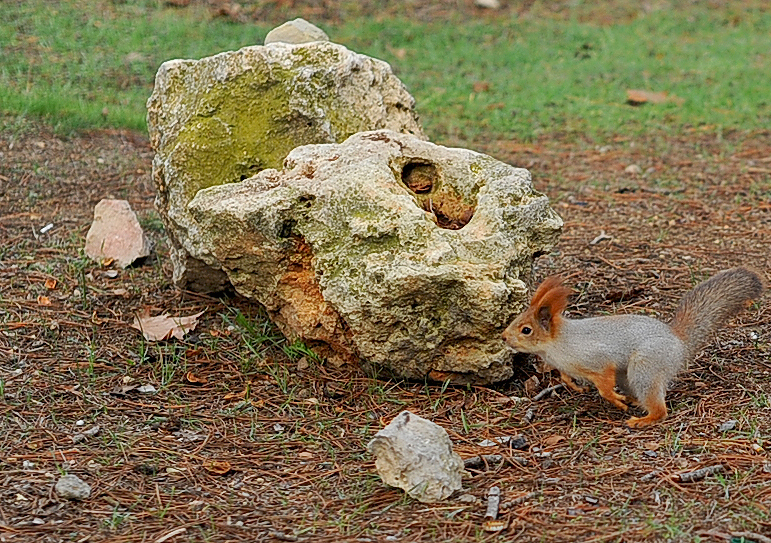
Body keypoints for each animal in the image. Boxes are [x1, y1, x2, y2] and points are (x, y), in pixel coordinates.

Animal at [504, 268, 764, 430]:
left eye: (526, 330)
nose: (504, 337)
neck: (557, 344)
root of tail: (678, 342)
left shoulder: (597, 359)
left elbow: (604, 385)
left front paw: (614, 400)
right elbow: (565, 376)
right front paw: (574, 385)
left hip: (645, 367)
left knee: (659, 409)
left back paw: (642, 418)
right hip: (629, 375)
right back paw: (633, 401)